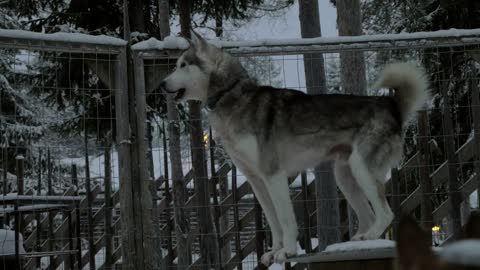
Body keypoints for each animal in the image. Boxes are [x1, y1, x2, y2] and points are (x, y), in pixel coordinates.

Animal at [159, 30, 430, 264]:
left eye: (183, 65)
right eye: (176, 65)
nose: (162, 84)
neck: (231, 94)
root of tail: (391, 105)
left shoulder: (274, 175)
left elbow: (286, 219)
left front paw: (287, 251)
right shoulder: (257, 181)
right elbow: (273, 221)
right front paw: (274, 252)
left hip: (361, 169)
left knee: (386, 214)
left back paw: (370, 237)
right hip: (345, 176)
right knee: (370, 216)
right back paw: (361, 240)